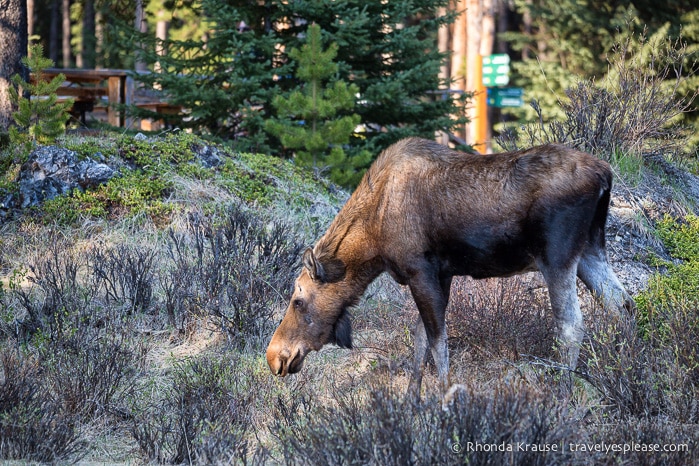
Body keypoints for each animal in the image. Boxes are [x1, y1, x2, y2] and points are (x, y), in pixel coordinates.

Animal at [264, 137, 636, 396]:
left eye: (298, 300)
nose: (275, 356)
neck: (373, 241)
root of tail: (605, 175)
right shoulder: (439, 275)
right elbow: (420, 340)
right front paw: (411, 399)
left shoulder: (420, 271)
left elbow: (437, 342)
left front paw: (443, 398)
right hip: (590, 250)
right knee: (621, 305)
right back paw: (624, 373)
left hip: (556, 255)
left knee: (572, 324)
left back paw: (563, 394)